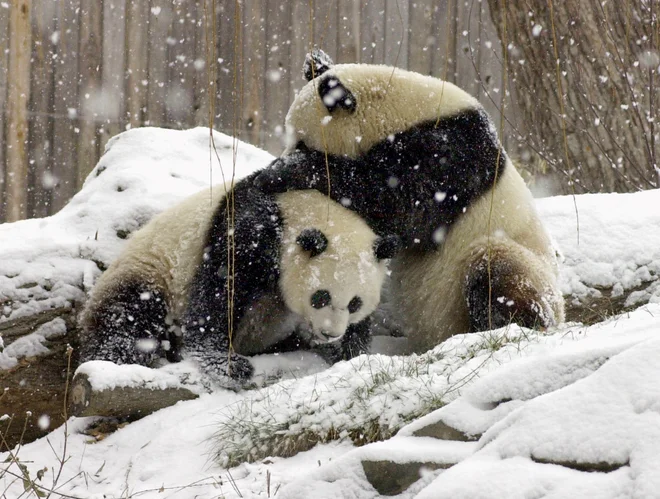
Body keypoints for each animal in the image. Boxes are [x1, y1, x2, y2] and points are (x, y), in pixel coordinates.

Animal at [77, 174, 398, 388]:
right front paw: (230, 365)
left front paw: (350, 352)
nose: (330, 333)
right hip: (149, 272)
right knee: (128, 321)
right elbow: (219, 292)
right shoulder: (249, 232)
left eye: (355, 303)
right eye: (321, 296)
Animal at [255, 47, 564, 352]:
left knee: (499, 270)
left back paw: (501, 326)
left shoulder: (452, 156)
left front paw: (281, 172)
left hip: (520, 268)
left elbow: (404, 207)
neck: (399, 110)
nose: (285, 155)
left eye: (301, 143)